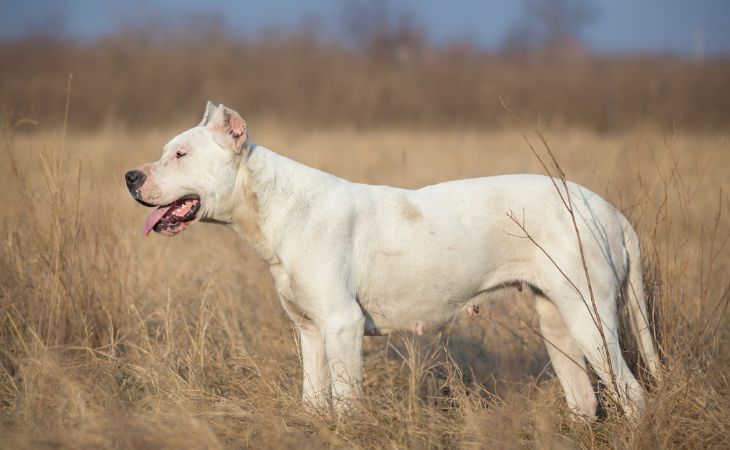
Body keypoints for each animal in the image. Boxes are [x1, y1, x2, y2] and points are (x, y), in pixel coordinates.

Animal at [125, 102, 660, 418]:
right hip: (559, 326)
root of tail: (607, 209)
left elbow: (345, 404)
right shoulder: (310, 333)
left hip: (590, 319)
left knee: (632, 394)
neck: (276, 206)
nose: (130, 176)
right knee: (585, 398)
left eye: (180, 154)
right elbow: (314, 401)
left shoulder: (340, 327)